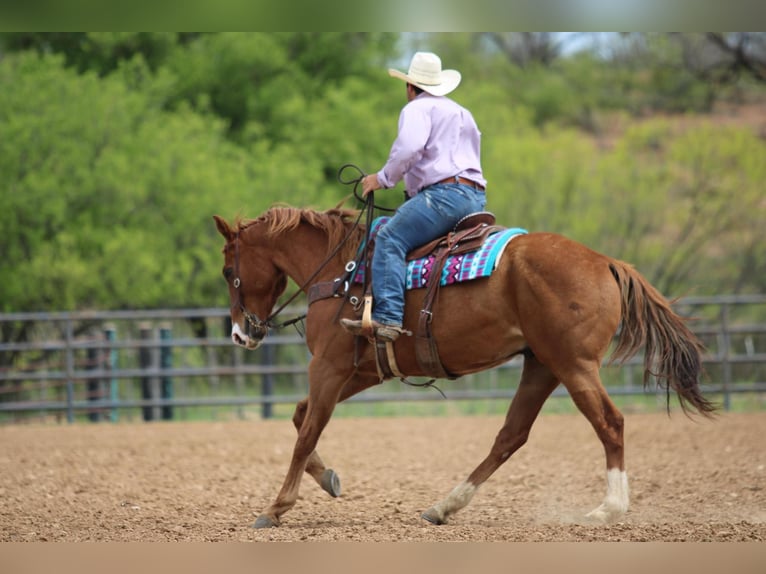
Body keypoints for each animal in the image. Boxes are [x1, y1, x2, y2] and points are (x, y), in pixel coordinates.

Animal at [213, 207, 716, 532]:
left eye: (226, 271)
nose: (240, 334)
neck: (343, 270)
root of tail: (607, 262)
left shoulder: (329, 367)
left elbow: (305, 432)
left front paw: (276, 507)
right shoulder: (361, 370)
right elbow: (302, 418)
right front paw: (329, 480)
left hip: (573, 365)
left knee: (609, 423)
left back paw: (609, 509)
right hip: (543, 365)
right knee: (511, 435)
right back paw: (444, 506)